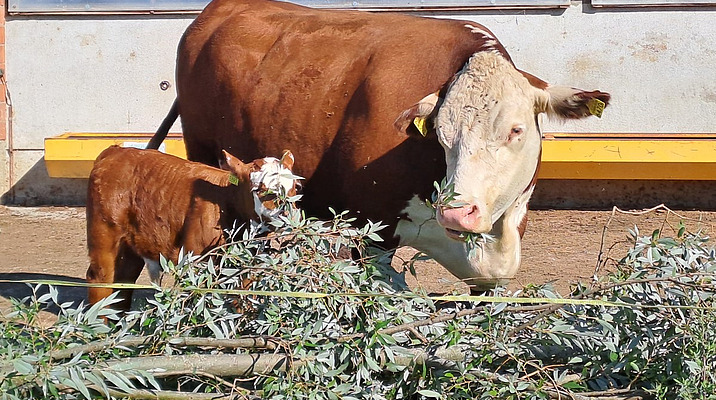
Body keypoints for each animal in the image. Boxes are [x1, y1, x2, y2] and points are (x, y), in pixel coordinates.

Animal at [86, 145, 296, 310]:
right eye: (260, 190)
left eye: (296, 188)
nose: (288, 215)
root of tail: (115, 151)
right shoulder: (194, 258)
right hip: (104, 237)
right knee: (100, 280)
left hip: (131, 247)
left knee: (123, 284)